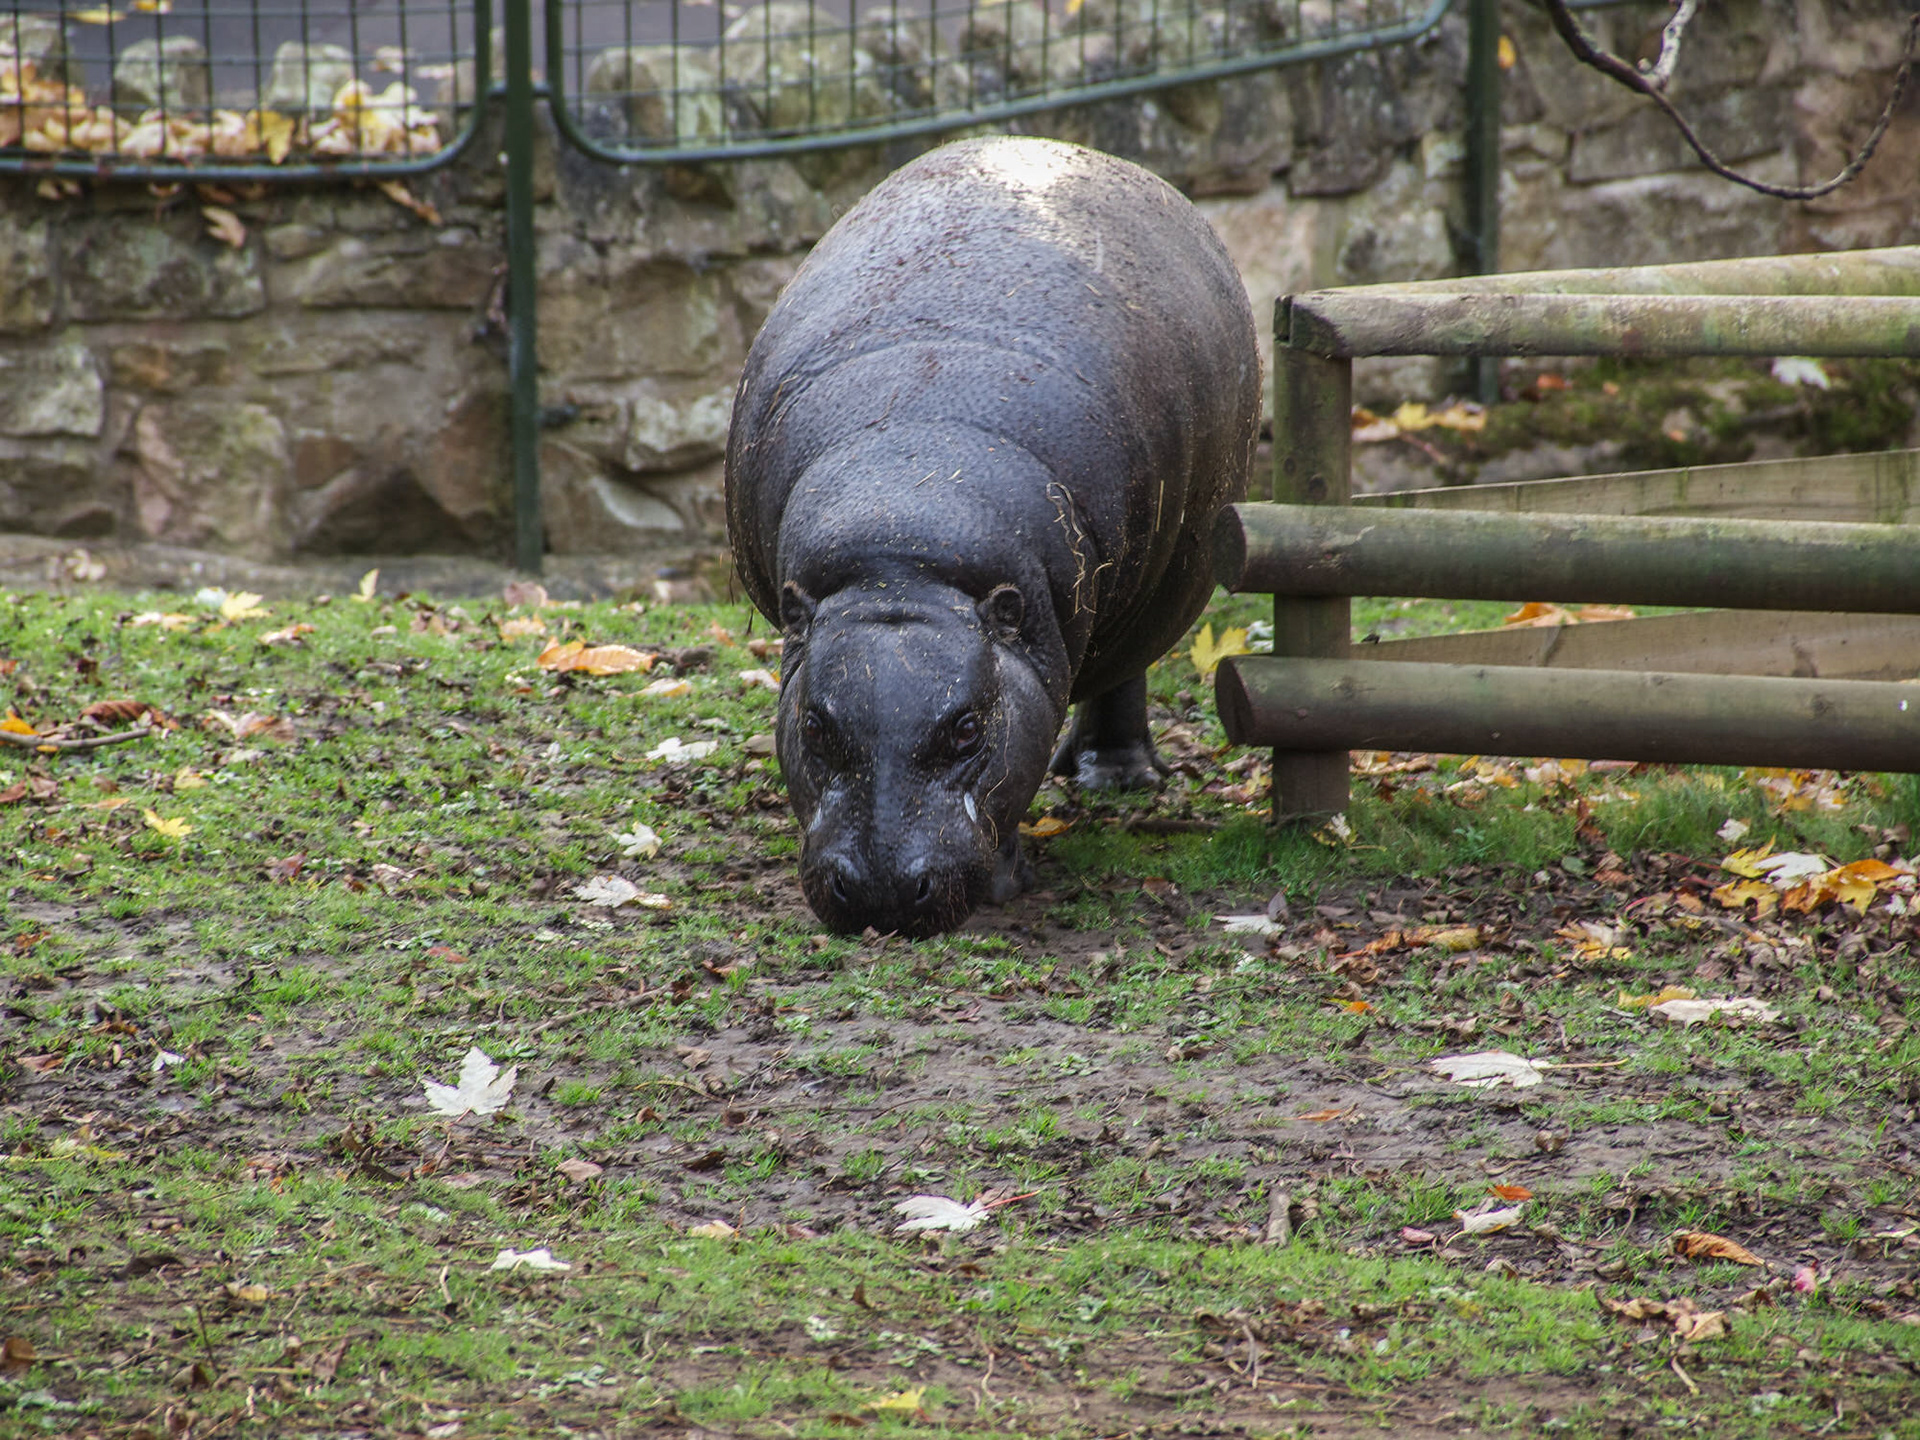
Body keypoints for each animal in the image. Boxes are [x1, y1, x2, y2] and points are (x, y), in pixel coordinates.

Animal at [725, 135, 1260, 937]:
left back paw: (1116, 778)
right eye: (815, 726)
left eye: (969, 728)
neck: (904, 529)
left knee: (1123, 675)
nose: (883, 890)